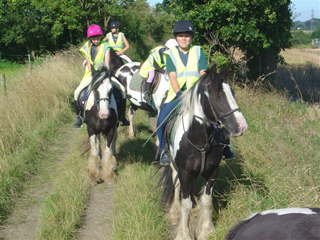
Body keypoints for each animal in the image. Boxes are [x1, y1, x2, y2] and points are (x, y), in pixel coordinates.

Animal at [160, 64, 248, 240]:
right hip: (173, 167)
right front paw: (184, 234)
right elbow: (185, 203)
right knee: (177, 188)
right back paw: (174, 214)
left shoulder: (213, 171)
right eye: (218, 95)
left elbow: (207, 201)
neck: (200, 140)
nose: (242, 126)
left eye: (233, 92)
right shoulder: (184, 172)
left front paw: (206, 231)